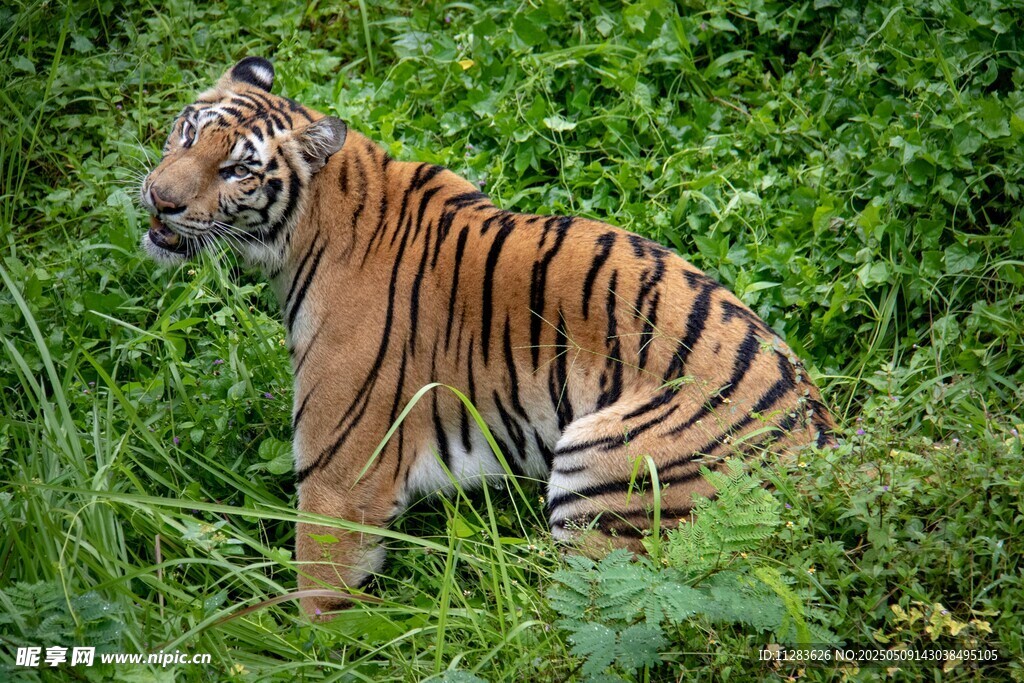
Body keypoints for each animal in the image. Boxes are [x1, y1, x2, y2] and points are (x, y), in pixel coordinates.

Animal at [140, 57, 835, 618]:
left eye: (238, 170)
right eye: (187, 132)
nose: (159, 199)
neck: (305, 230)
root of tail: (830, 458)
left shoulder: (338, 477)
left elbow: (319, 596)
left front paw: (298, 650)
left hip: (600, 467)